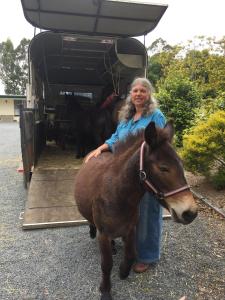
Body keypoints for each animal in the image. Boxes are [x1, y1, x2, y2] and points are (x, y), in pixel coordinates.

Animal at [74, 121, 197, 300]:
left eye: (182, 165)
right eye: (163, 168)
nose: (190, 213)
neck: (117, 195)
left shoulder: (130, 229)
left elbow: (131, 254)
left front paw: (123, 272)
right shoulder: (103, 234)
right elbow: (106, 264)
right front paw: (105, 290)